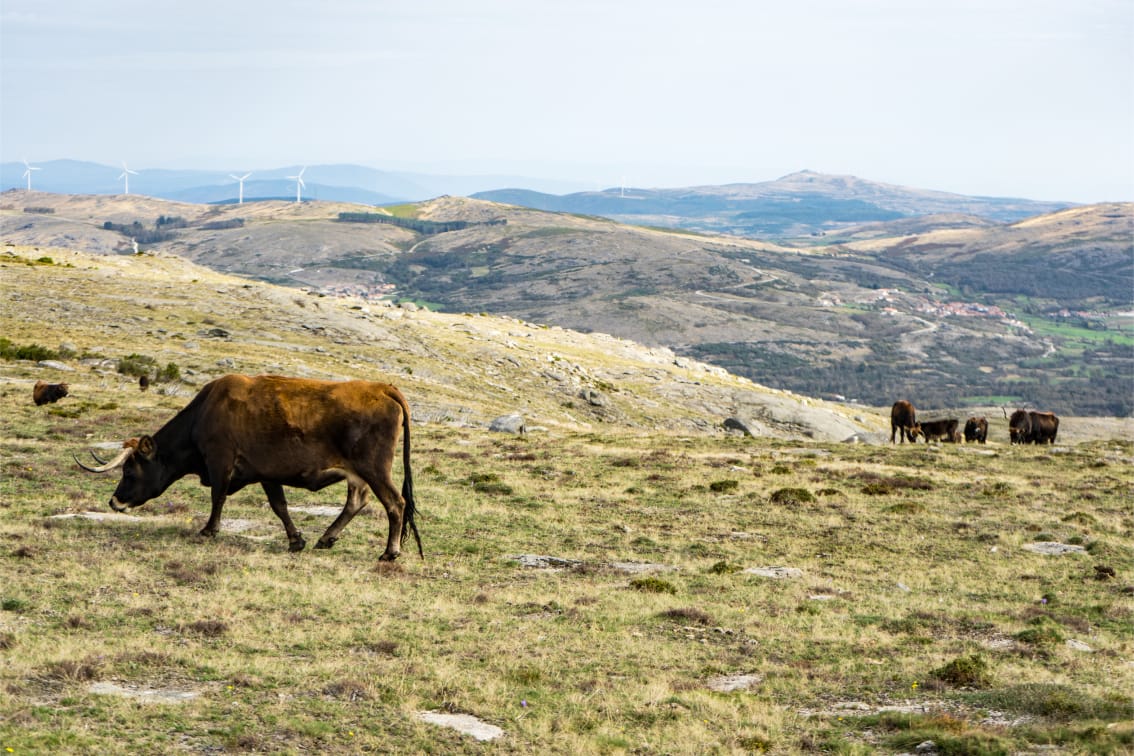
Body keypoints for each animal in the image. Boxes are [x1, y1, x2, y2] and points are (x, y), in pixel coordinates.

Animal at [76, 374, 421, 562]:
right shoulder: (267, 473)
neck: (204, 413)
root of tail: (382, 388)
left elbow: (217, 497)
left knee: (395, 503)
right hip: (358, 473)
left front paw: (208, 530)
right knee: (357, 501)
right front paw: (296, 540)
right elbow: (280, 506)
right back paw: (327, 538)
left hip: (374, 468)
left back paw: (390, 552)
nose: (114, 501)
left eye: (129, 471)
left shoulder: (221, 462)